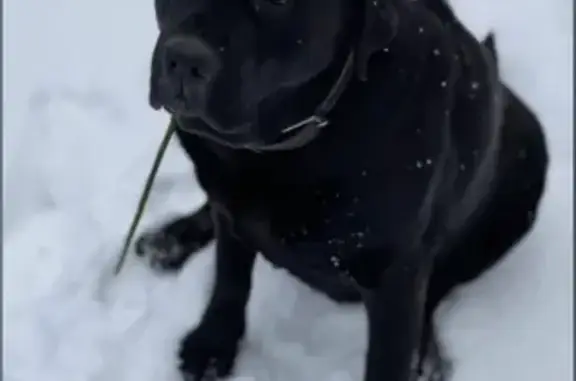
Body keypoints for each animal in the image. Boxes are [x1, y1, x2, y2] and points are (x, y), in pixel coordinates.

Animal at [138, 1, 548, 378]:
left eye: (277, 3)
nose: (184, 60)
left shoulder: (395, 271)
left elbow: (388, 356)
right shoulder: (229, 203)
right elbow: (229, 275)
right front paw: (213, 343)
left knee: (438, 288)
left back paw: (428, 353)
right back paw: (170, 239)